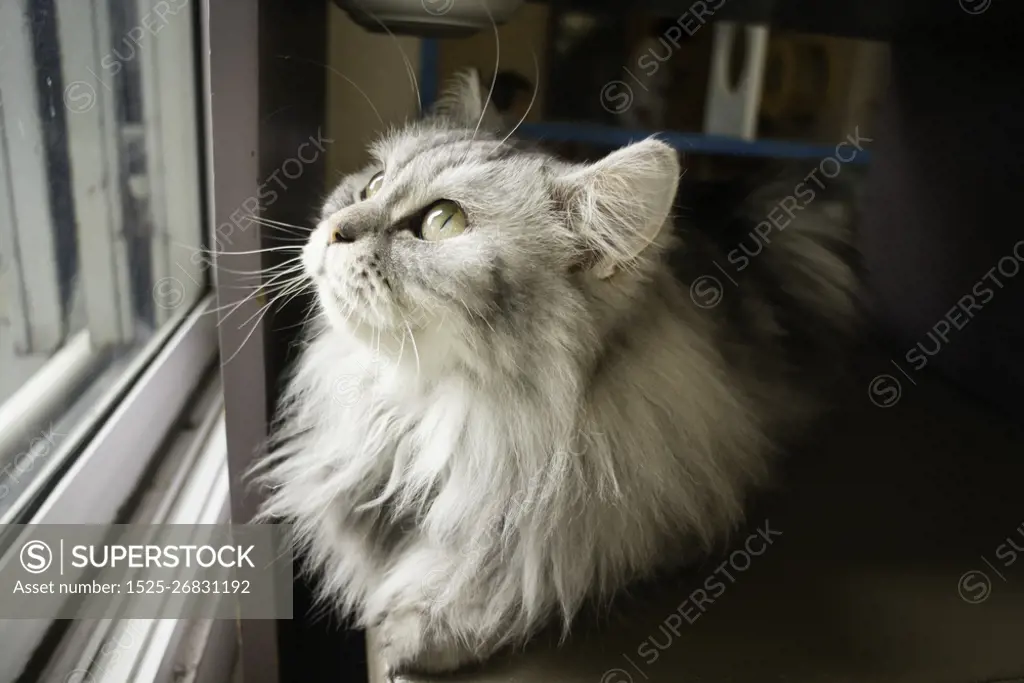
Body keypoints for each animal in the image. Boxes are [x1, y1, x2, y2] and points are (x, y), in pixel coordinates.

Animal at [251, 70, 860, 679]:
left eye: (443, 221)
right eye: (372, 184)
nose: (333, 230)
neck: (433, 416)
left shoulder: (636, 534)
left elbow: (502, 586)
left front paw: (420, 630)